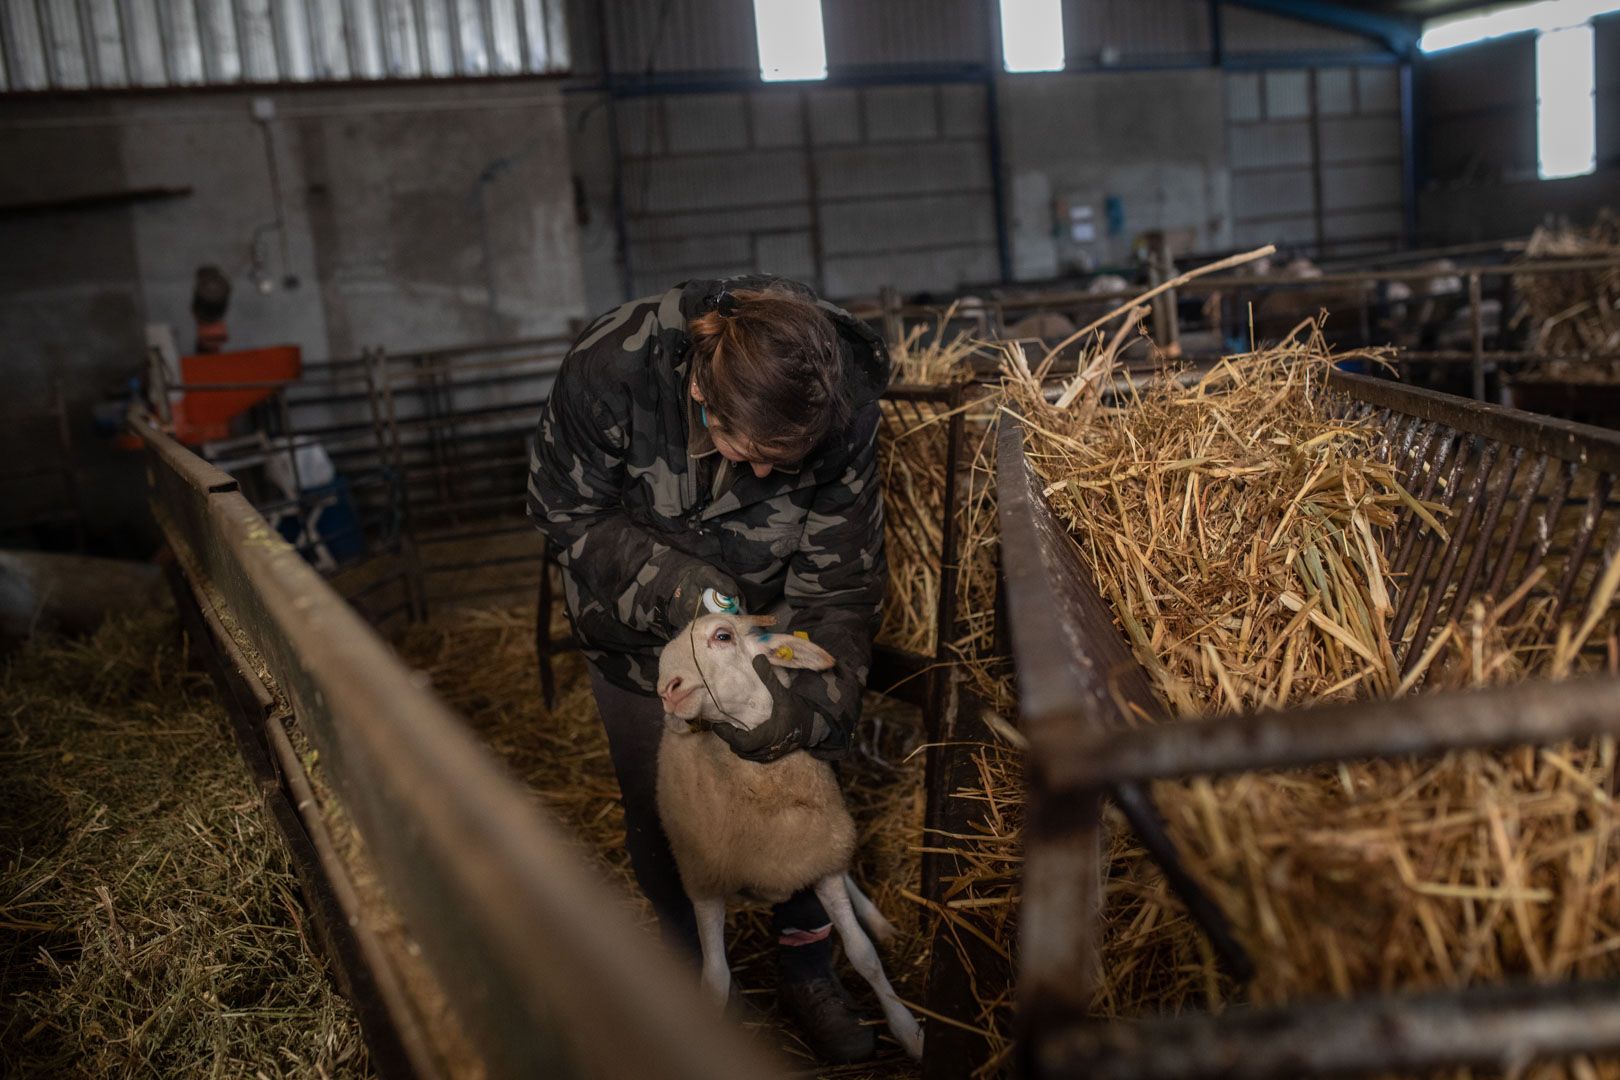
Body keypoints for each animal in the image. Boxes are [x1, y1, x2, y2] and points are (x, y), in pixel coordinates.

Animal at [648, 612, 926, 1062]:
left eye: (722, 636)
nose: (666, 691)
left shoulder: (821, 862)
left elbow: (864, 955)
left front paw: (909, 1031)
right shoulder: (704, 884)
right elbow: (716, 980)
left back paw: (880, 922)